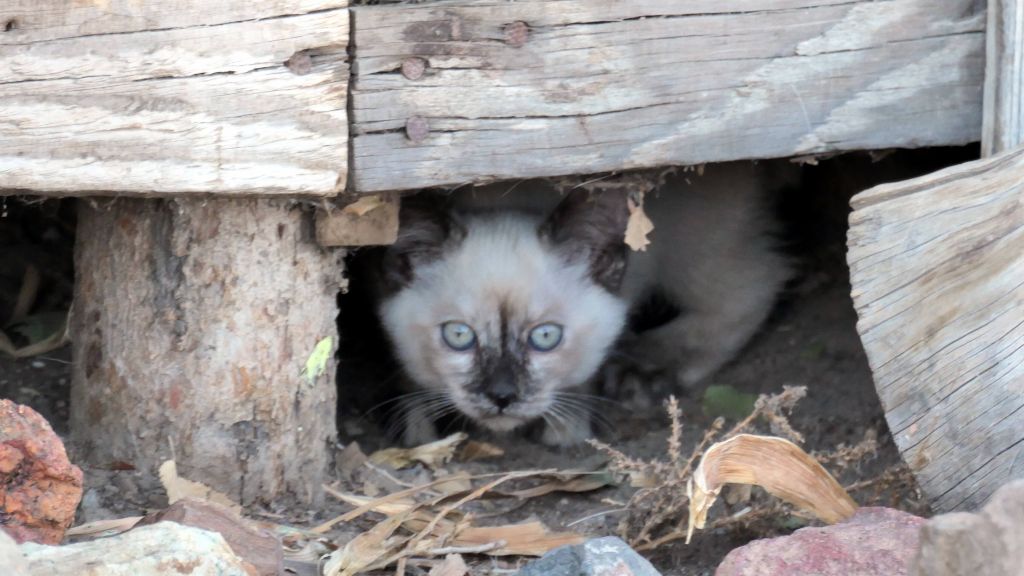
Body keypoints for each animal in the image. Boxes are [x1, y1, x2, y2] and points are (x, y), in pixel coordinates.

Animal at [376, 159, 790, 444]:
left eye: (545, 338)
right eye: (459, 336)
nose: (502, 396)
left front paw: (565, 430)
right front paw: (422, 426)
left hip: (696, 240)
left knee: (756, 285)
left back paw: (642, 371)